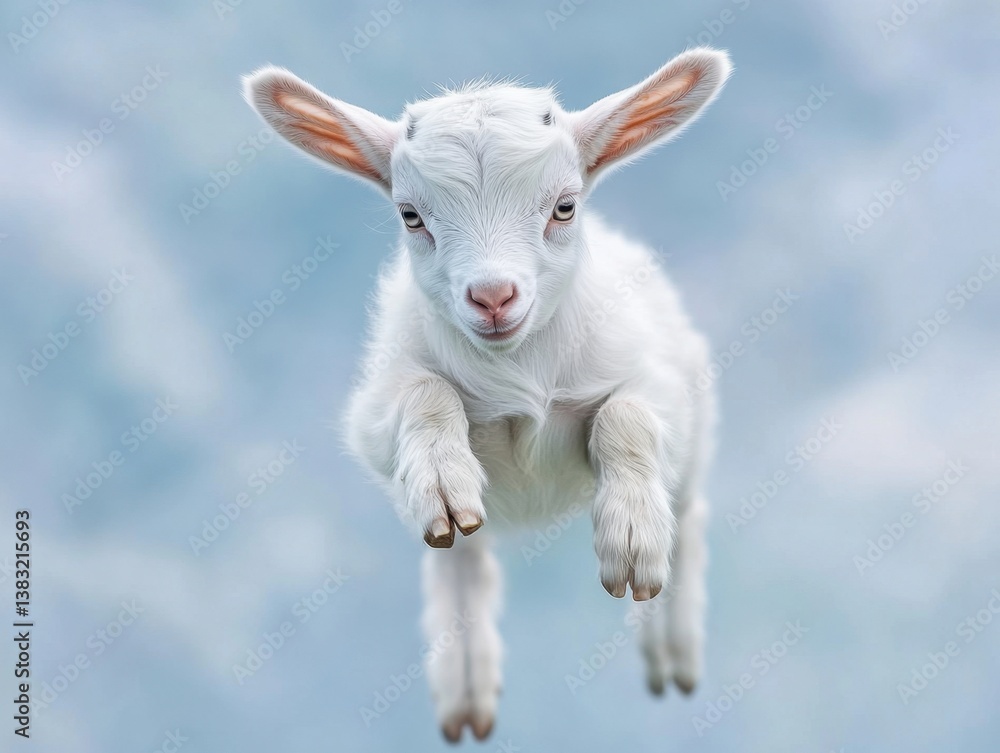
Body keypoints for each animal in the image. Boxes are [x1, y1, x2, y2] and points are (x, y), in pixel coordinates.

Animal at [244, 47, 731, 743]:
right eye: (411, 215)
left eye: (564, 207)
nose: (493, 296)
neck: (517, 370)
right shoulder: (375, 409)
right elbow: (425, 392)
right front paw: (441, 473)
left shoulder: (657, 380)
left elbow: (626, 415)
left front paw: (633, 537)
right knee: (459, 553)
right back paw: (466, 681)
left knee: (688, 513)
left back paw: (673, 648)